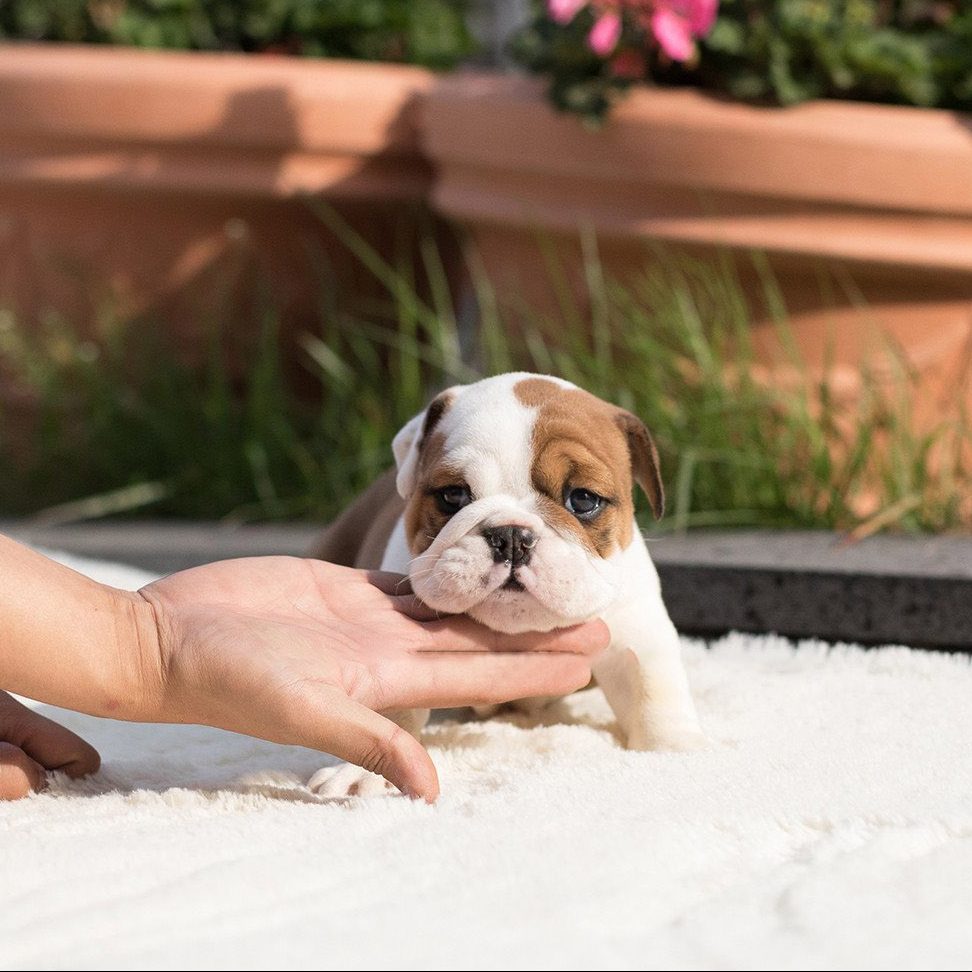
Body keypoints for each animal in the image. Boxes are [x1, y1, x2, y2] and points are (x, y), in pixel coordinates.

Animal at [308, 372, 704, 796]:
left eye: (583, 499)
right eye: (453, 495)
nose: (512, 536)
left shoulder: (637, 631)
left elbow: (655, 690)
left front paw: (674, 752)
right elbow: (394, 704)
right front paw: (366, 771)